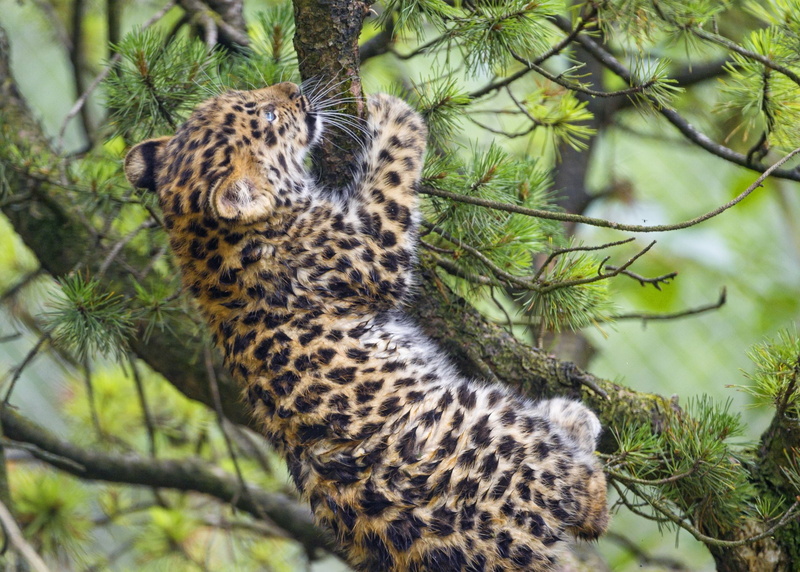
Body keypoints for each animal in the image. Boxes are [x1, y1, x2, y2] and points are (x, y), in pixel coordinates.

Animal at [124, 81, 609, 571]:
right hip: (488, 417)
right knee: (586, 499)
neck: (204, 247)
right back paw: (576, 421)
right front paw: (395, 112)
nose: (293, 88)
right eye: (269, 117)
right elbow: (392, 177)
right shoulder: (375, 250)